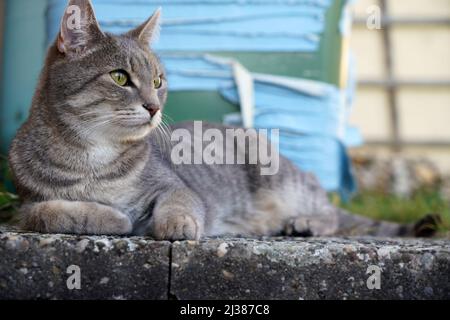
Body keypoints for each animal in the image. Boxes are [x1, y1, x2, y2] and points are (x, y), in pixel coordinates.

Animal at [7, 0, 428, 240]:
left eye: (158, 81)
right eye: (120, 77)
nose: (153, 107)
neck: (92, 157)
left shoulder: (176, 187)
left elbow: (179, 204)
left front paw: (176, 225)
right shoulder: (26, 204)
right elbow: (52, 212)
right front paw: (111, 217)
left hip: (281, 177)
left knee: (329, 212)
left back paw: (305, 222)